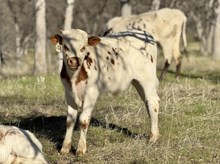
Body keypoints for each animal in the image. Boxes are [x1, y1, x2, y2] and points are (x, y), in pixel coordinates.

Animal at [50, 28, 160, 156]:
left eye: (83, 48)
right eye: (65, 46)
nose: (74, 61)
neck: (74, 78)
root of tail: (143, 33)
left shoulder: (91, 93)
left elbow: (83, 120)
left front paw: (81, 149)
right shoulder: (69, 94)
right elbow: (70, 121)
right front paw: (65, 148)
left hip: (147, 80)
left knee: (153, 103)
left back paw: (153, 137)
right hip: (138, 82)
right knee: (148, 103)